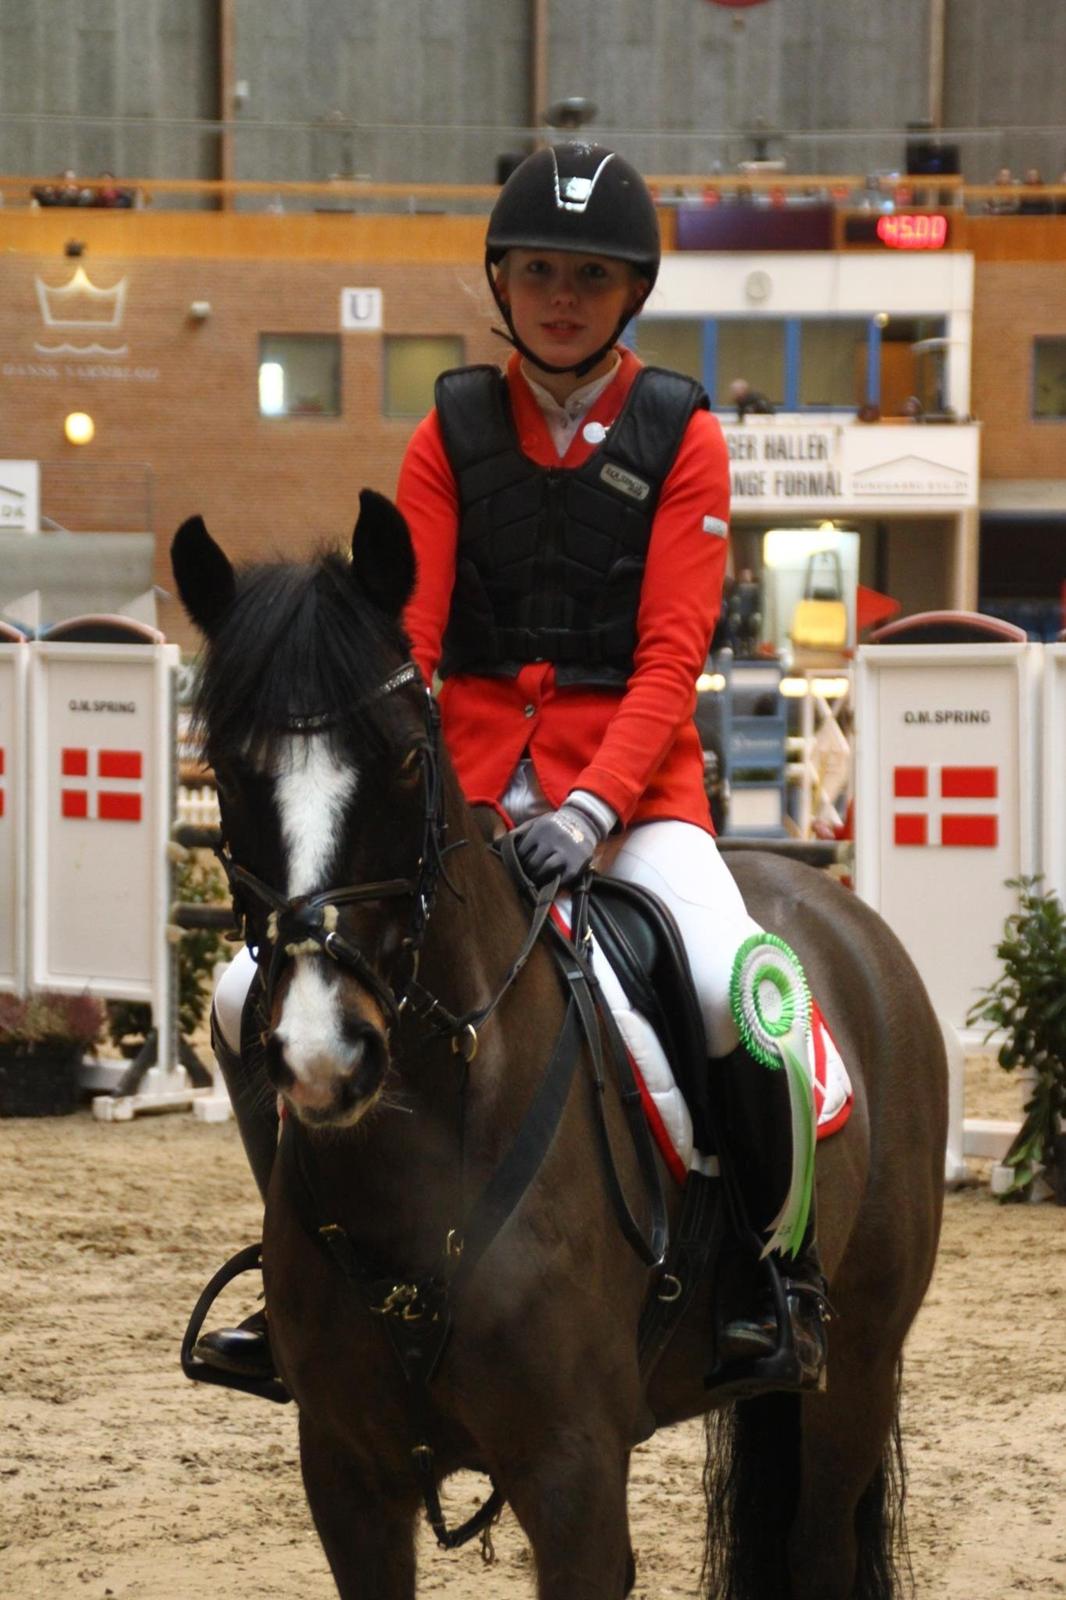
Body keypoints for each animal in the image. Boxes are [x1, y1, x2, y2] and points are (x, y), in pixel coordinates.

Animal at [174, 492, 947, 1593]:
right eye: (233, 770)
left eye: (407, 755)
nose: (328, 1054)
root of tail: (840, 911)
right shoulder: (347, 1479)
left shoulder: (572, 1477)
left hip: (859, 1365)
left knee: (820, 1545)